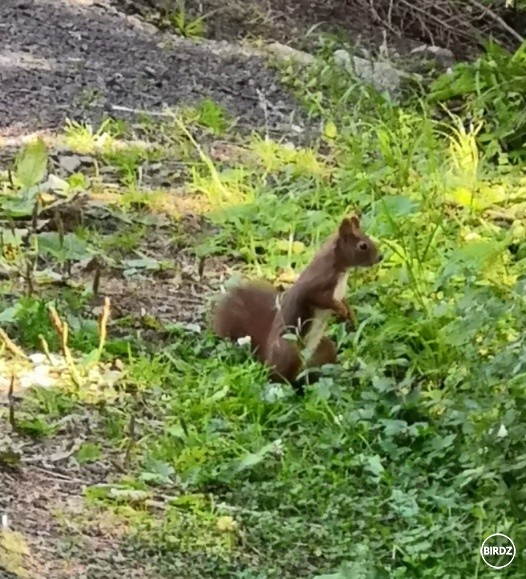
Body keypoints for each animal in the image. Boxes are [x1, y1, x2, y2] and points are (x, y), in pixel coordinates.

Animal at [211, 213, 384, 390]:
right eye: (362, 245)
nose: (380, 257)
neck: (340, 270)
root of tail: (266, 357)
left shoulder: (339, 294)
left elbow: (344, 302)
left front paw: (350, 315)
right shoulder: (316, 287)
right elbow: (322, 300)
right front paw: (341, 311)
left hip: (324, 349)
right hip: (289, 350)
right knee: (280, 378)